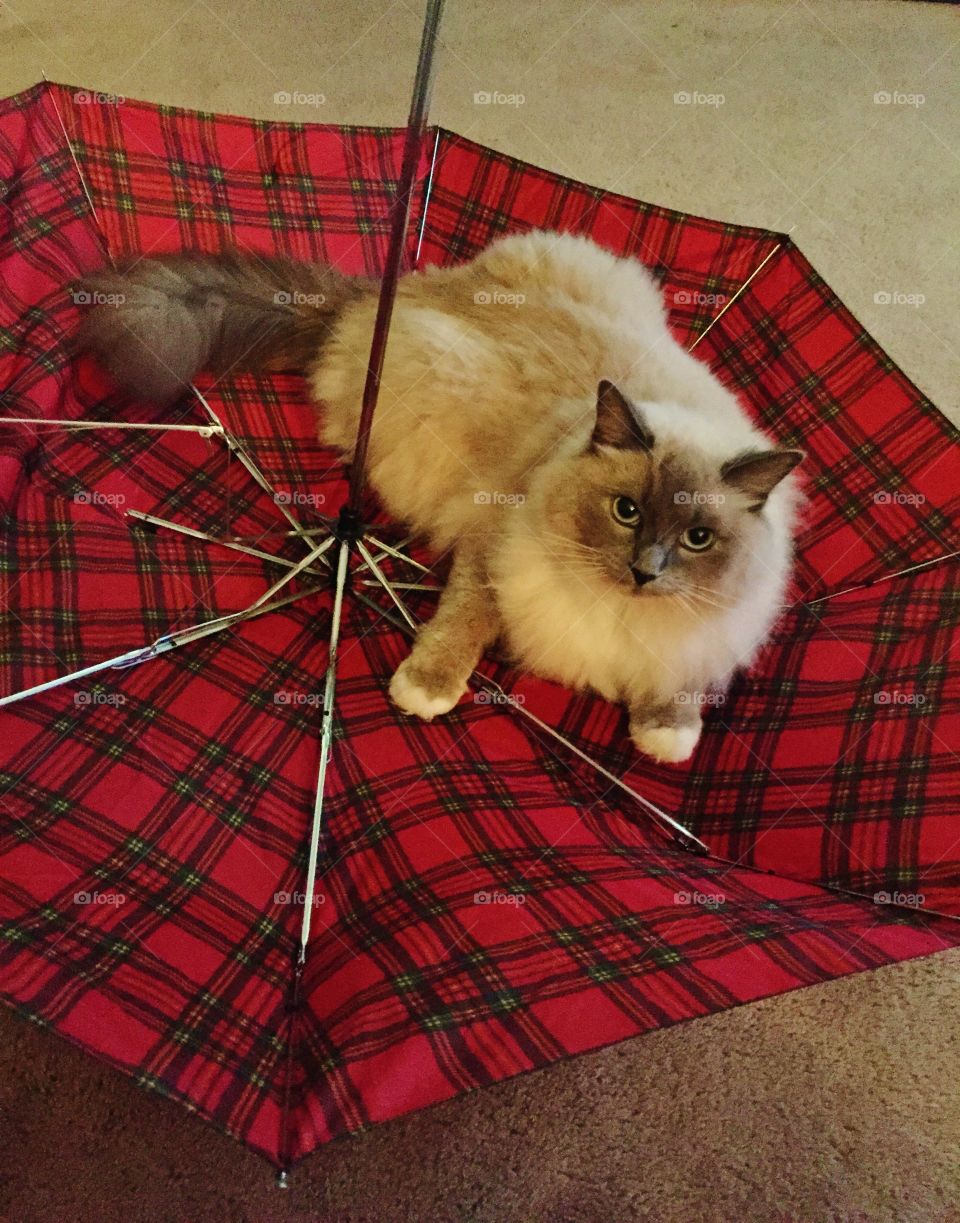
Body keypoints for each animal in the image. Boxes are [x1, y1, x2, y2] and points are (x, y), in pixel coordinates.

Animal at [80, 229, 802, 758]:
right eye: (626, 511)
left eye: (698, 538)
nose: (645, 571)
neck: (618, 609)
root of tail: (395, 292)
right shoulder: (491, 550)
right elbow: (462, 622)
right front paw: (425, 689)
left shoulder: (709, 632)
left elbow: (683, 684)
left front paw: (666, 736)